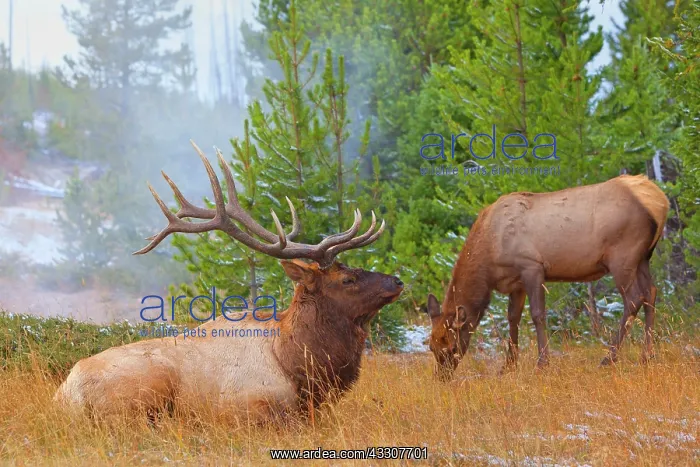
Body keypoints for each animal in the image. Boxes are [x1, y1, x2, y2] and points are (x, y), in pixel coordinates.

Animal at [54, 141, 404, 423]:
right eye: (348, 279)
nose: (398, 282)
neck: (296, 364)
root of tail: (68, 393)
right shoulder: (243, 406)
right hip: (146, 386)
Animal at [425, 175, 669, 381]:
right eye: (431, 346)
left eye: (452, 346)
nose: (442, 377)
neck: (489, 256)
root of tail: (661, 202)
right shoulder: (516, 282)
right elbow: (513, 318)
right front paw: (509, 365)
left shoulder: (531, 266)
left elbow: (537, 315)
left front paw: (542, 363)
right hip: (643, 258)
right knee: (651, 292)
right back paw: (647, 356)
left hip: (622, 258)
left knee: (634, 298)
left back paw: (609, 358)